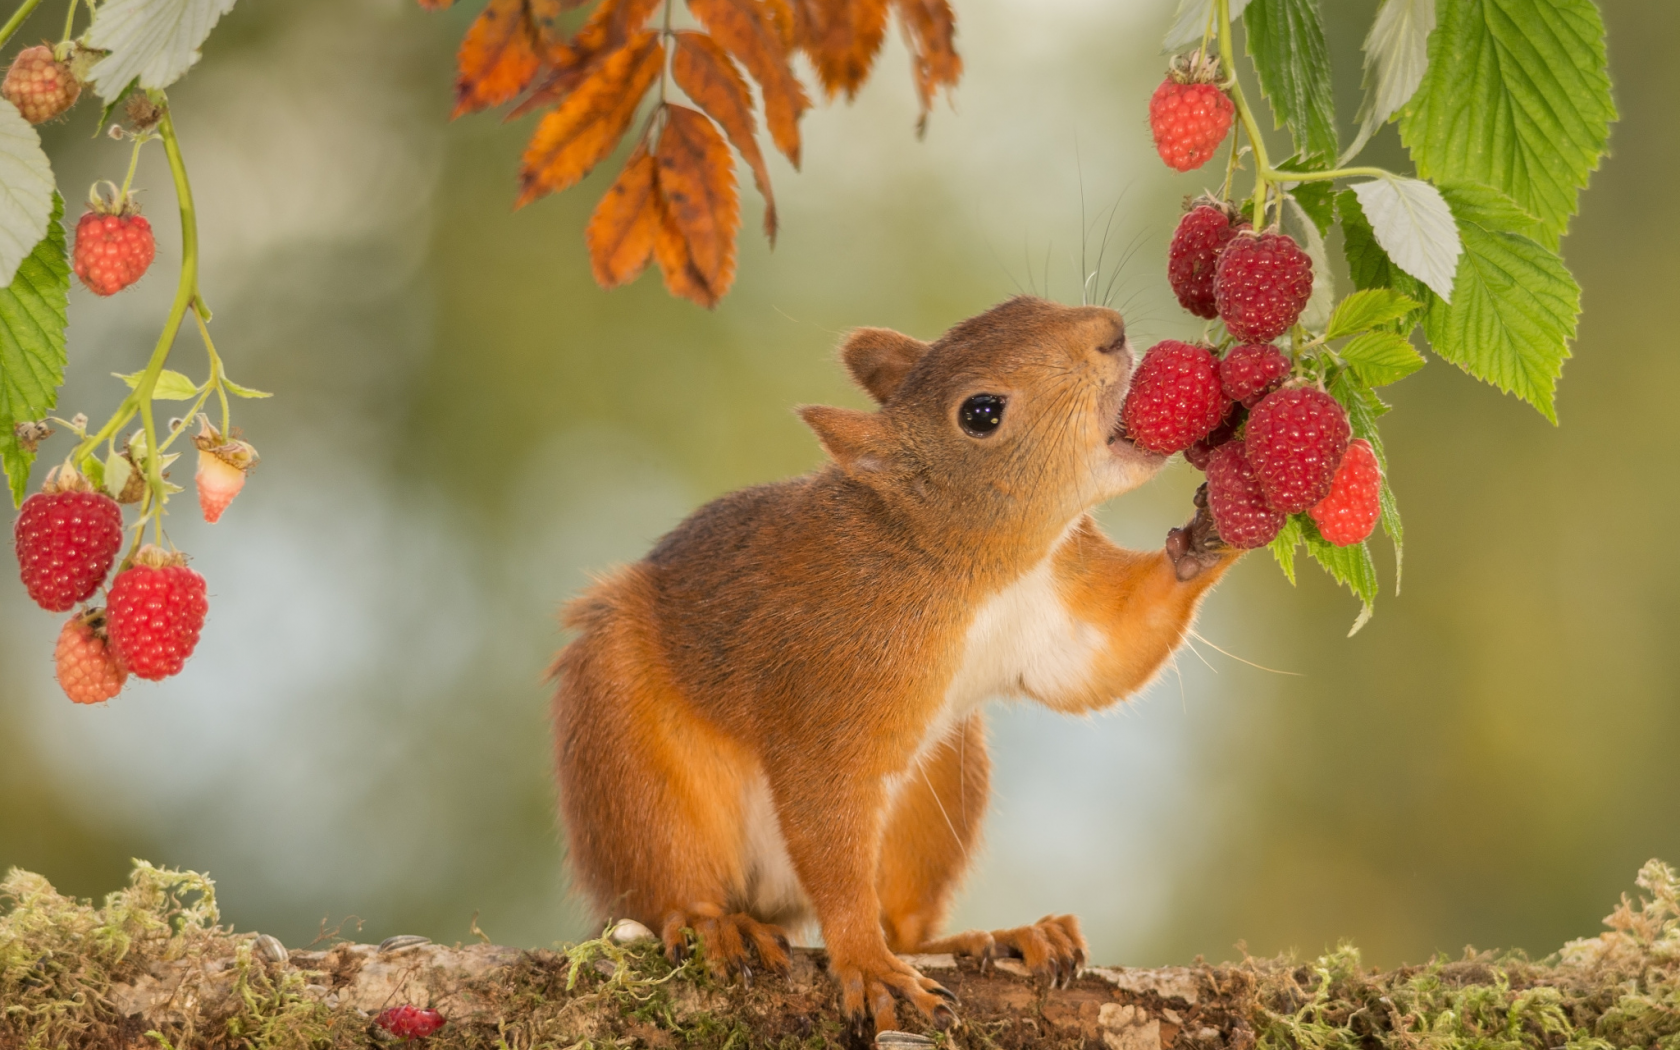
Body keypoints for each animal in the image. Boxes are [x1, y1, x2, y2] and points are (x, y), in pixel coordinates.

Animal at [551, 295, 1236, 1034]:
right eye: (981, 413)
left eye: (1023, 304)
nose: (1110, 332)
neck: (979, 570)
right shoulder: (827, 687)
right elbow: (828, 823)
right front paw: (866, 965)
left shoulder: (1060, 602)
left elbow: (1106, 657)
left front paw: (1214, 529)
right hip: (628, 757)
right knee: (664, 885)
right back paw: (714, 924)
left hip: (941, 785)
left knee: (906, 924)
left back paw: (1006, 936)